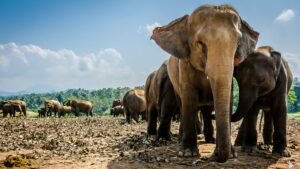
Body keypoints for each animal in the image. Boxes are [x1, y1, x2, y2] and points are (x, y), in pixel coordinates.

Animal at [151, 4, 258, 162]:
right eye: (200, 43)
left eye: (237, 43)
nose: (217, 156)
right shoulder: (185, 65)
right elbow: (189, 99)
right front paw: (187, 153)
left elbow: (228, 98)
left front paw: (232, 154)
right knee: (181, 104)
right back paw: (181, 140)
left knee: (206, 111)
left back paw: (210, 140)